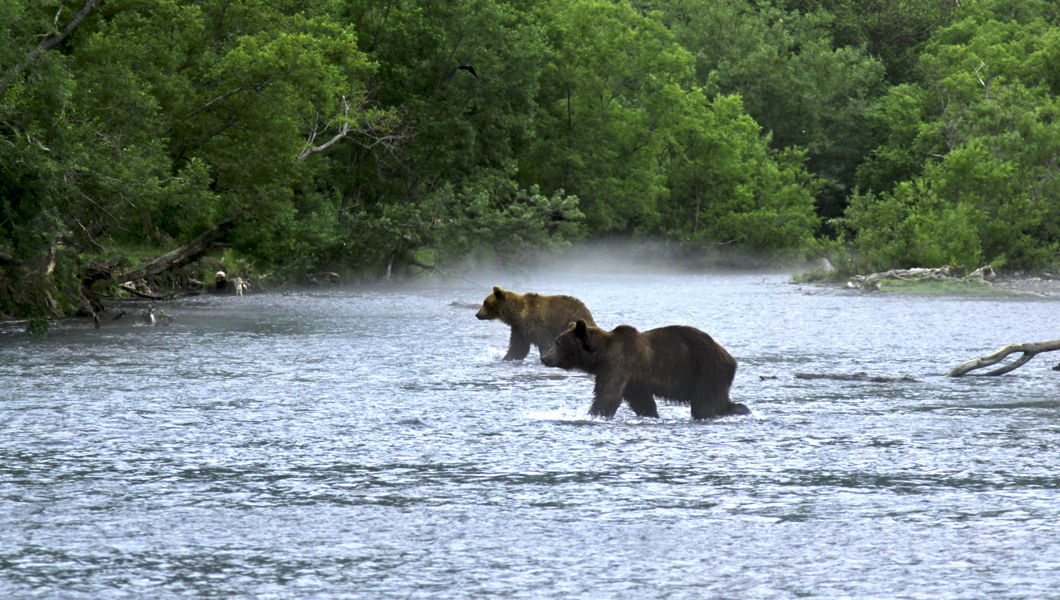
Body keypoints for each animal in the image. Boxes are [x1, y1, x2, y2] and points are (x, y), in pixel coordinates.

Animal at [542, 318, 750, 421]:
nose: (544, 357)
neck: (601, 355)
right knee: (720, 402)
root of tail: (730, 358)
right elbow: (642, 402)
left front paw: (594, 413)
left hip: (706, 371)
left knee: (704, 404)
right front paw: (651, 414)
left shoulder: (619, 364)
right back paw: (742, 409)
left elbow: (608, 395)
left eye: (558, 343)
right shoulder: (635, 382)